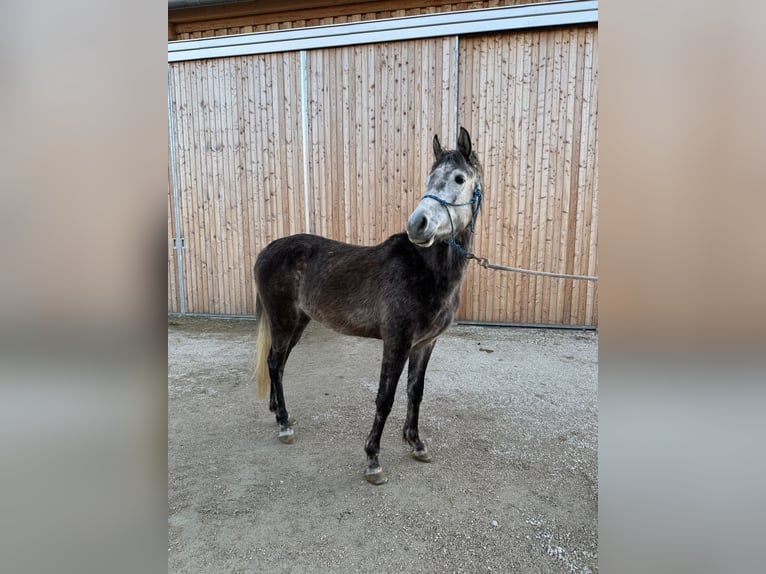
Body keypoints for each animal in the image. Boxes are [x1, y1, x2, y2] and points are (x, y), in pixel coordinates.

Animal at [253, 127, 483, 485]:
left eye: (459, 178)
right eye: (429, 178)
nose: (417, 224)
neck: (425, 269)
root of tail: (266, 251)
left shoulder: (425, 344)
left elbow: (415, 392)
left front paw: (416, 443)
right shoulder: (397, 341)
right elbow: (385, 397)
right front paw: (373, 459)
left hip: (297, 324)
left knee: (276, 363)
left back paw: (279, 414)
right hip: (283, 321)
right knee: (275, 365)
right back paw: (284, 426)